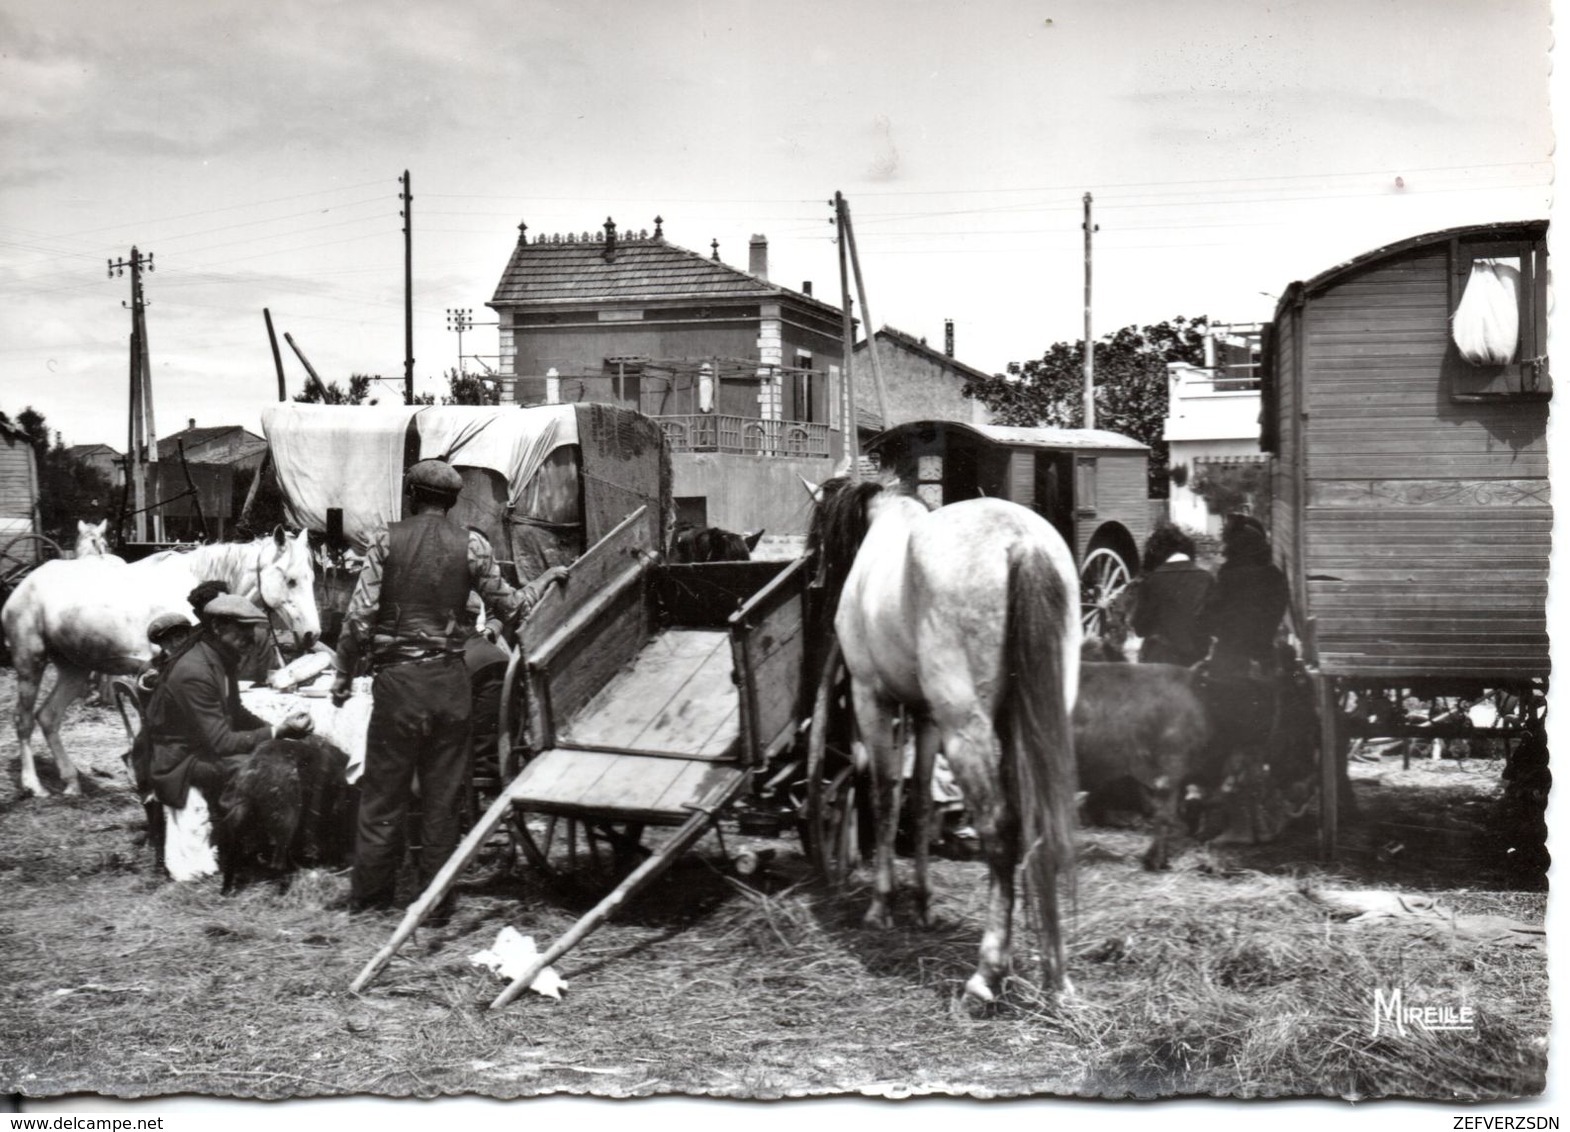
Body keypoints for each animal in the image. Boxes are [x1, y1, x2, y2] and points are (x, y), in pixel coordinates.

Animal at [0, 527, 321, 794]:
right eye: (291, 580)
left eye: (312, 578)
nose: (312, 634)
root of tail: (24, 585)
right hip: (30, 662)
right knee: (23, 720)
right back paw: (33, 785)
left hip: (74, 669)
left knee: (48, 717)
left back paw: (70, 782)